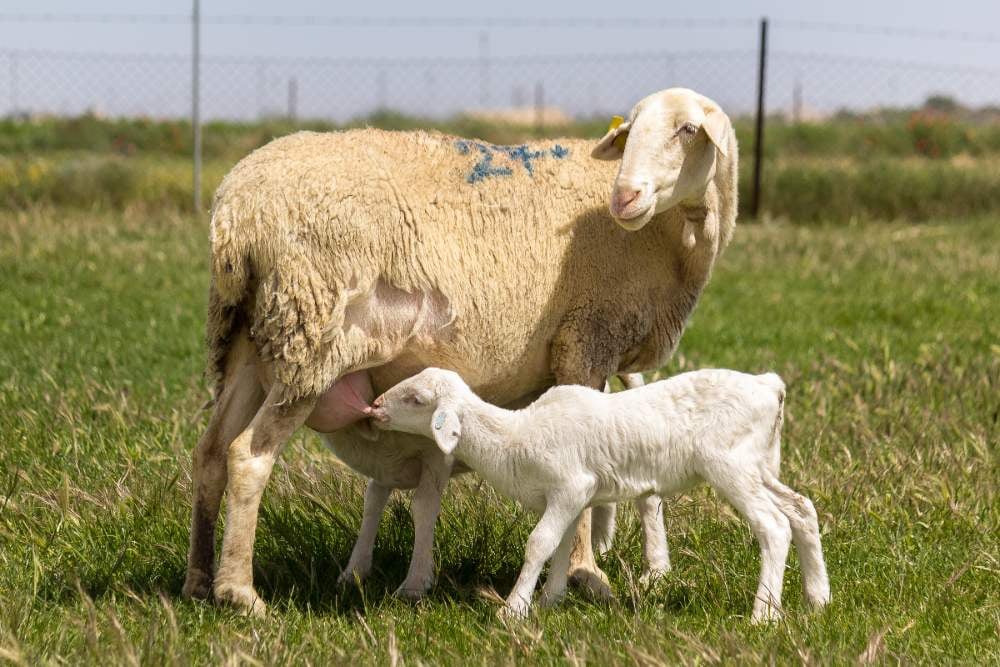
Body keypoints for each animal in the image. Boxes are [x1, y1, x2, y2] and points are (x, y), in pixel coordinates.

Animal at [182, 87, 739, 615]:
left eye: (688, 129)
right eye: (631, 130)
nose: (623, 198)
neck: (671, 236)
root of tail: (236, 213)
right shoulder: (586, 337)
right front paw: (586, 572)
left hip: (249, 340)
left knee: (210, 452)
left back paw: (197, 582)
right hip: (310, 337)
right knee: (249, 456)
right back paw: (240, 594)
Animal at [368, 367, 832, 622]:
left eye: (416, 398)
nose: (374, 408)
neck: (514, 436)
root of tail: (770, 386)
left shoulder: (569, 483)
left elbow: (539, 543)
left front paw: (513, 610)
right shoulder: (573, 494)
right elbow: (561, 544)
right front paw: (550, 601)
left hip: (730, 464)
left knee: (773, 525)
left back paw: (763, 616)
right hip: (759, 464)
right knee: (801, 509)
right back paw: (818, 600)